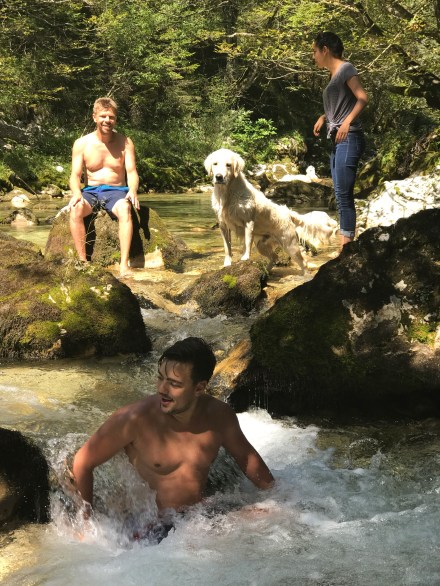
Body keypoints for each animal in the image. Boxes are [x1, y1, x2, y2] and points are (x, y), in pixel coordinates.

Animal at [204, 148, 336, 272]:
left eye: (228, 165)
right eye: (215, 164)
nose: (219, 177)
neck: (227, 194)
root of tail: (288, 212)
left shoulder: (248, 222)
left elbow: (246, 243)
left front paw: (245, 258)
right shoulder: (223, 225)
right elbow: (227, 247)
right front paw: (227, 264)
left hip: (290, 244)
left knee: (303, 262)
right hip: (261, 244)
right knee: (274, 257)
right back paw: (264, 272)